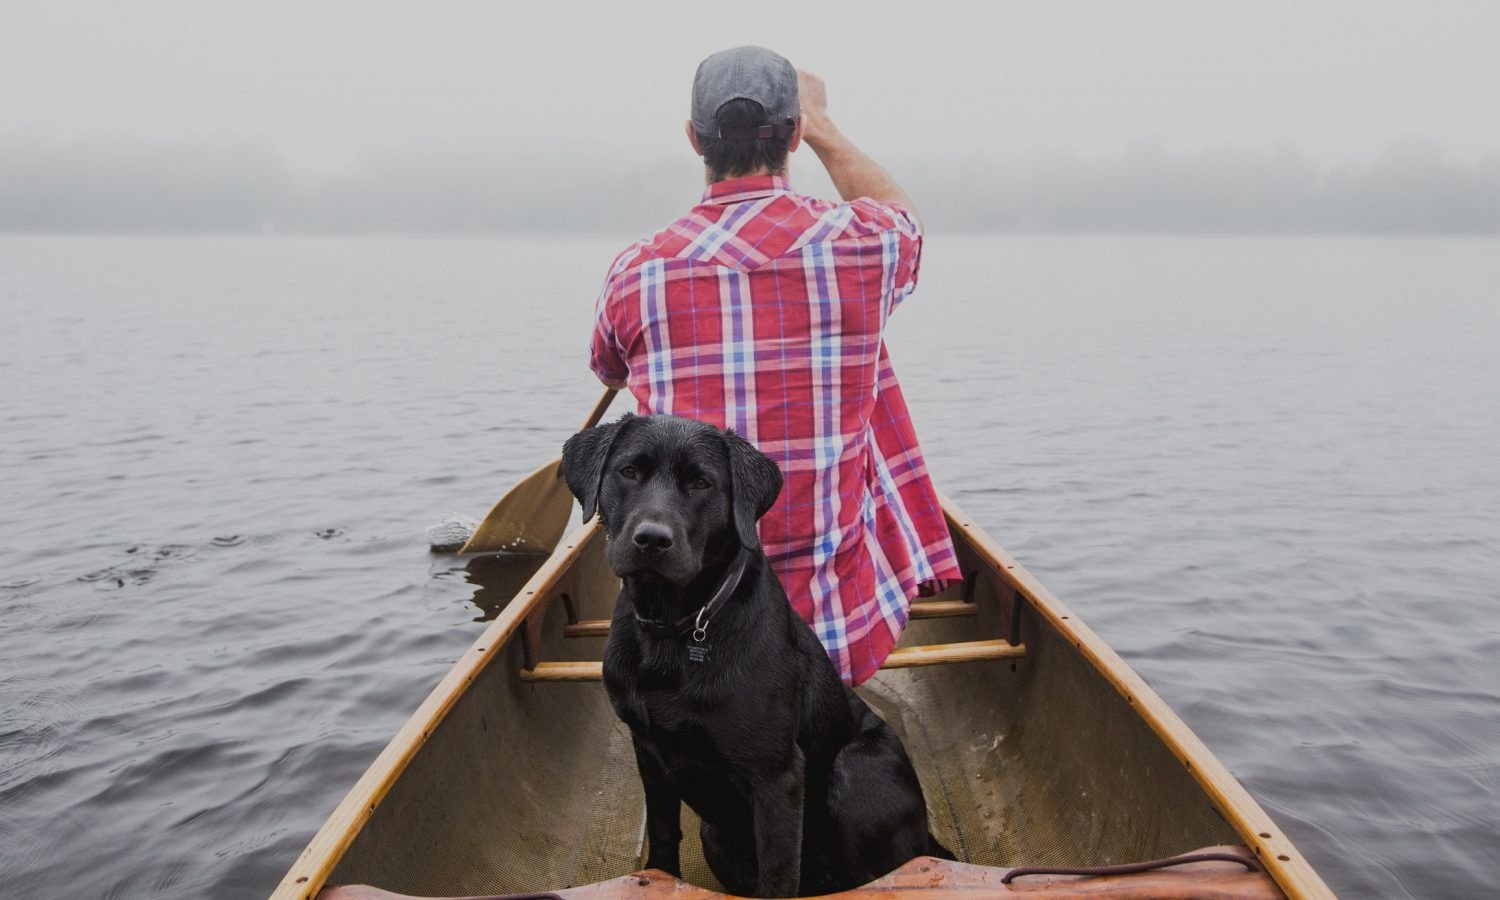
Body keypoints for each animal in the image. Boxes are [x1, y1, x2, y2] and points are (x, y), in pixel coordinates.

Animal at [564, 417, 936, 900]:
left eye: (701, 483)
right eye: (628, 472)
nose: (651, 539)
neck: (679, 628)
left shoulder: (776, 776)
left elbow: (778, 872)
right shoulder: (647, 749)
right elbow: (663, 835)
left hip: (859, 768)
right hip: (716, 835)